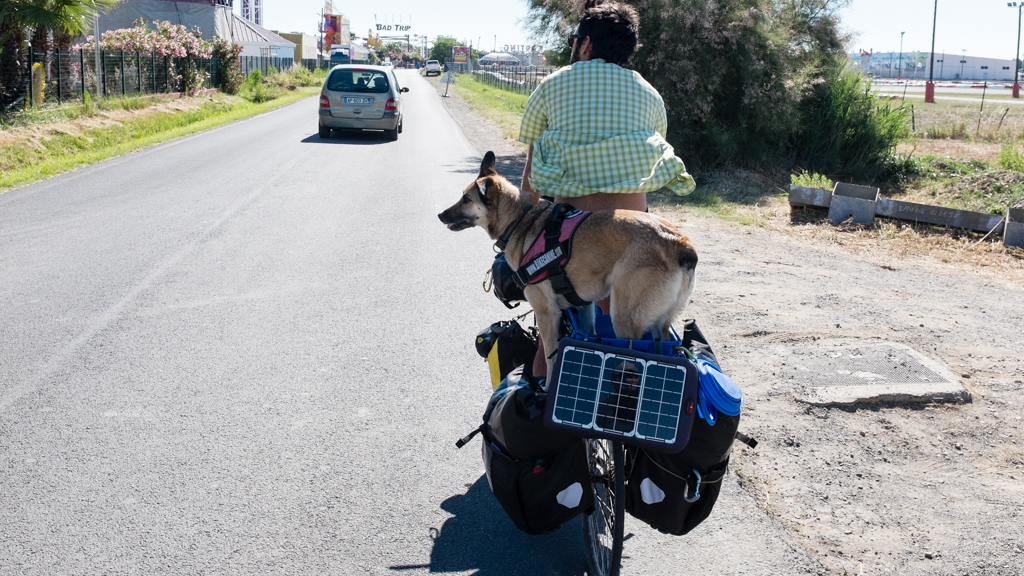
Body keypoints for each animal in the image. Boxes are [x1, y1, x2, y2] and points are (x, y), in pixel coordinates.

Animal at [436, 150, 700, 379]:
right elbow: (591, 338)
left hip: (624, 319)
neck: (520, 220)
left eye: (466, 199)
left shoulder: (546, 313)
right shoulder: (585, 307)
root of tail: (680, 243)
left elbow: (552, 358)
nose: (440, 215)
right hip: (658, 326)